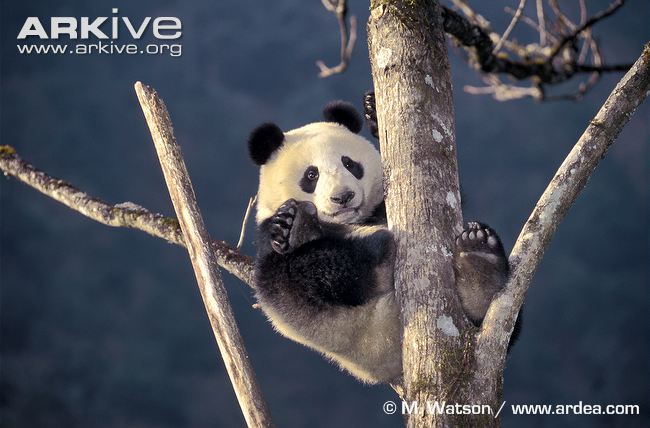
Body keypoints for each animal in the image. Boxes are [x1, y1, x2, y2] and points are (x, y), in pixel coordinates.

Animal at [246, 94, 512, 384]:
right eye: (311, 175)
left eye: (350, 164)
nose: (343, 197)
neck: (350, 222)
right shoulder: (267, 239)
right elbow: (287, 270)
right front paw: (289, 226)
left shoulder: (377, 209)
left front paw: (373, 111)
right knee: (302, 275)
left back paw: (479, 263)